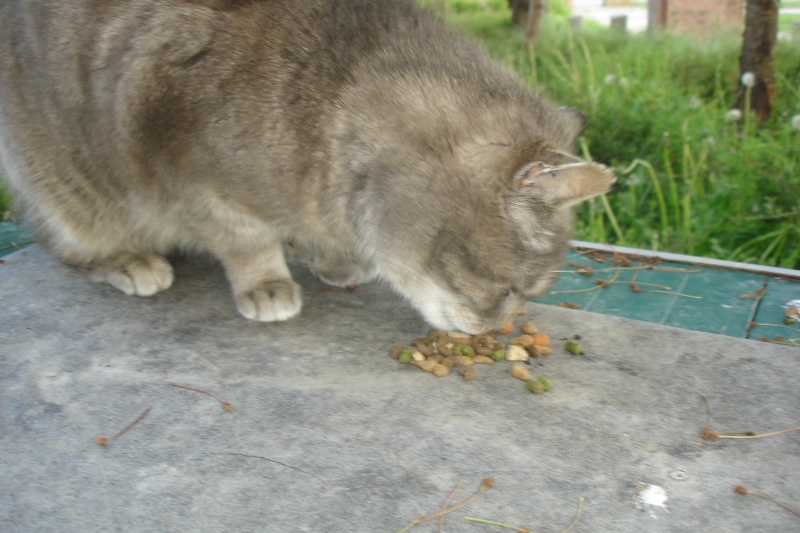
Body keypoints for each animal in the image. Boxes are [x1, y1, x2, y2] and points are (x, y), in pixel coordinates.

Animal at [0, 0, 616, 332]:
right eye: (512, 288)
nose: (496, 330)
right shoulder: (196, 183)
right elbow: (246, 241)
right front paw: (268, 283)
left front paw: (334, 260)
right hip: (67, 193)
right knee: (64, 247)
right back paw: (130, 262)